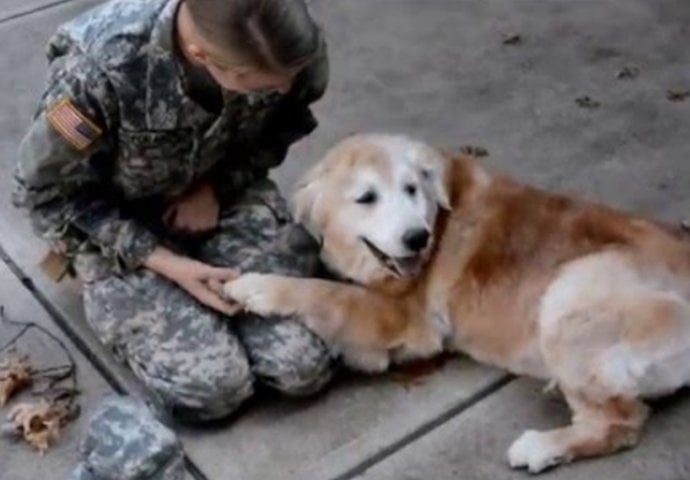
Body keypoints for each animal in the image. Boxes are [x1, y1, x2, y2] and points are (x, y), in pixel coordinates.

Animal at [224, 134, 688, 472]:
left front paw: (257, 287)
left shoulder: (403, 319)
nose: (417, 238)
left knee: (622, 421)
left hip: (568, 294)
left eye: (411, 189)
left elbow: (323, 293)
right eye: (366, 198)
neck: (440, 217)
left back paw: (541, 446)